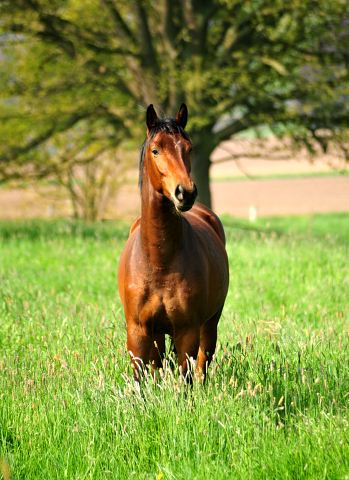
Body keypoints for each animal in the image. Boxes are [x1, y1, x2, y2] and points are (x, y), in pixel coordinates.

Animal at [118, 104, 230, 382]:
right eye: (156, 150)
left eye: (188, 148)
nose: (185, 193)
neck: (159, 262)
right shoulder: (138, 333)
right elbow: (140, 380)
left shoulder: (187, 331)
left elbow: (186, 378)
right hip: (157, 335)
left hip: (209, 325)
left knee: (202, 365)